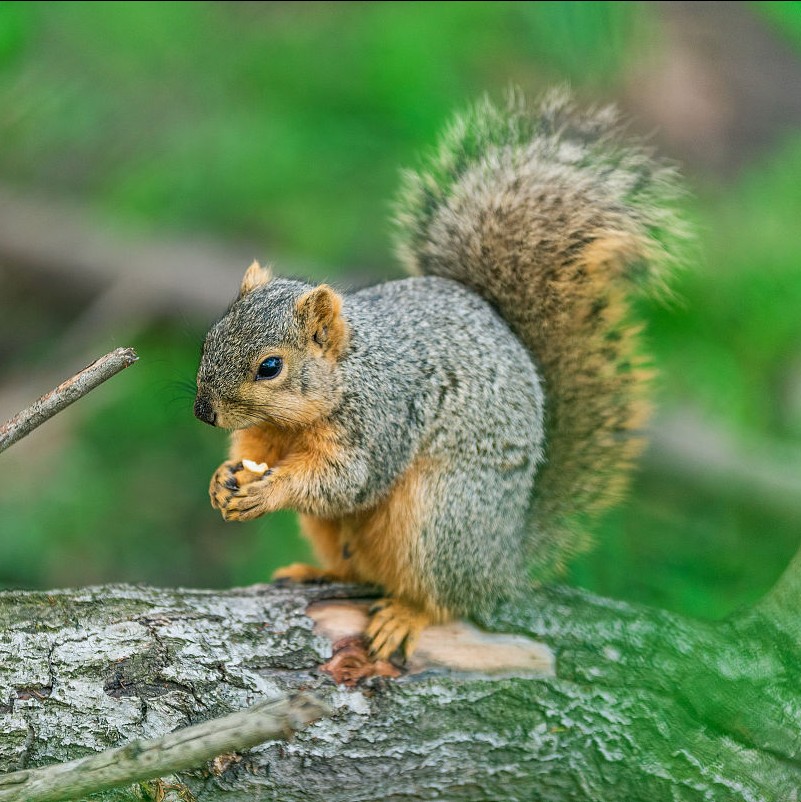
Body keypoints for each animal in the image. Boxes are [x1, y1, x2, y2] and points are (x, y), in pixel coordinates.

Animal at [195, 90, 688, 660]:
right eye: (210, 336)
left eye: (270, 367)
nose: (203, 412)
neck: (343, 376)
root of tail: (503, 562)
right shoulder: (269, 432)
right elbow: (254, 452)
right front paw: (222, 480)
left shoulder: (382, 420)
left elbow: (347, 481)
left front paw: (266, 491)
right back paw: (316, 573)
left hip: (438, 518)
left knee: (443, 598)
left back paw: (407, 615)